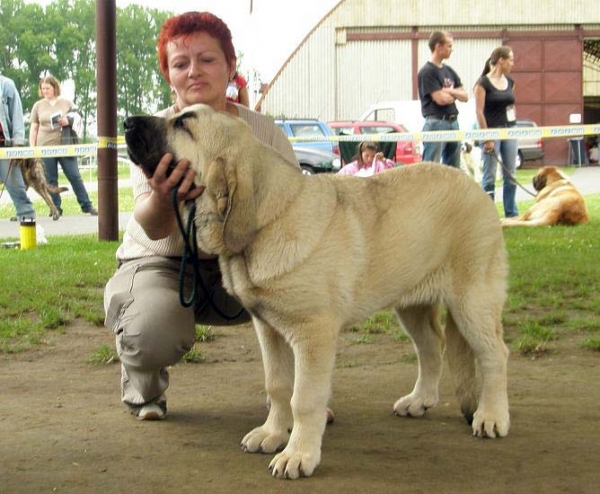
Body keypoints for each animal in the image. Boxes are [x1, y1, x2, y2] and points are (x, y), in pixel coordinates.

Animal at [125, 106, 510, 480]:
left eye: (183, 124)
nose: (126, 122)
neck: (269, 219)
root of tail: (476, 189)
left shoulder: (314, 334)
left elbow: (304, 399)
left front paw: (298, 455)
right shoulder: (268, 330)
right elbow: (278, 385)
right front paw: (273, 434)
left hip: (472, 302)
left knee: (495, 354)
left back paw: (492, 417)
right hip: (412, 305)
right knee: (432, 347)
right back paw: (420, 399)